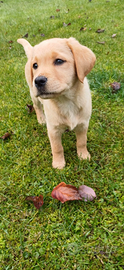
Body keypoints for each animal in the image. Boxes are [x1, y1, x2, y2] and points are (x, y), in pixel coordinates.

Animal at [17, 38, 95, 169]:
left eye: (59, 61)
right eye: (35, 65)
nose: (38, 81)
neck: (66, 100)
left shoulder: (83, 124)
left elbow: (82, 142)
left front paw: (83, 156)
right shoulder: (53, 129)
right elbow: (57, 147)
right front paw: (59, 164)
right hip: (33, 94)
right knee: (37, 107)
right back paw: (41, 119)